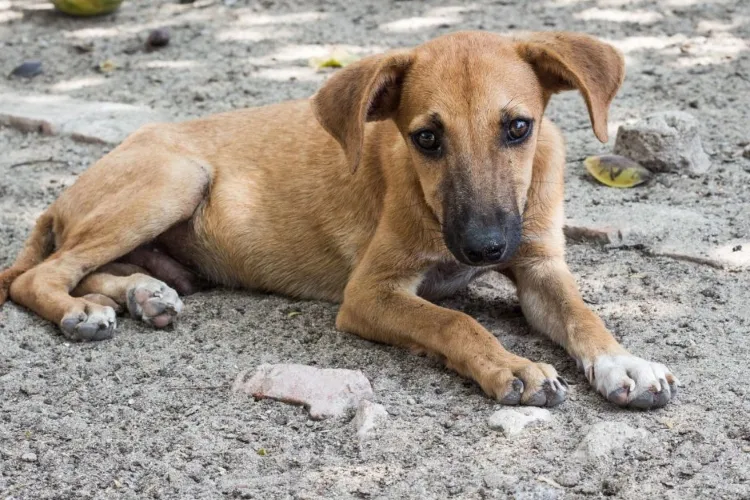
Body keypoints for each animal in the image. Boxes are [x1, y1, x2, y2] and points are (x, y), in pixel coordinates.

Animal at [0, 30, 680, 410]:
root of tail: (62, 195)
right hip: (174, 179)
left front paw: (624, 362)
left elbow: (583, 315)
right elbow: (454, 321)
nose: (484, 248)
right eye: (426, 138)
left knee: (92, 268)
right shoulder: (370, 294)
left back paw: (143, 293)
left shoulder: (539, 265)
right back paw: (81, 313)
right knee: (39, 276)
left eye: (518, 127)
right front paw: (511, 366)